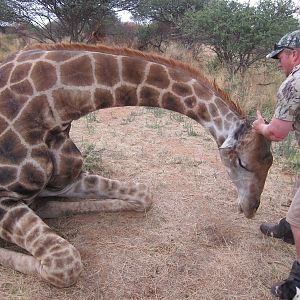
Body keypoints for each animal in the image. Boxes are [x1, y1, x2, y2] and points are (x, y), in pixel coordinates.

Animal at [0, 43, 274, 288]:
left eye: (270, 163)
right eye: (242, 162)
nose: (251, 208)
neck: (55, 106)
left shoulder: (67, 180)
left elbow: (143, 194)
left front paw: (47, 205)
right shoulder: (3, 198)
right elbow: (65, 263)